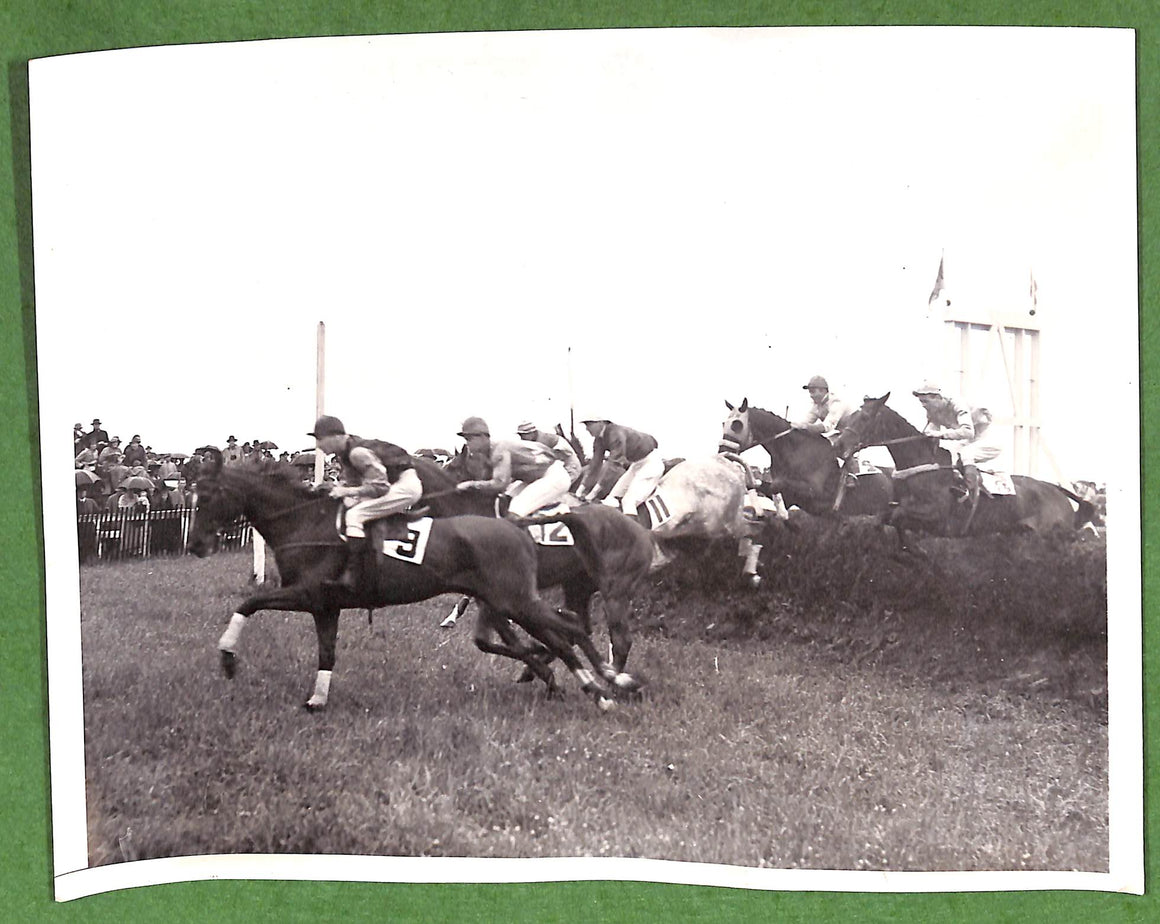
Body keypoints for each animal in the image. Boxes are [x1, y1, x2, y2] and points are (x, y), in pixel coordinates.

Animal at [192, 449, 644, 709]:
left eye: (207, 495)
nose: (196, 544)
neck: (307, 523)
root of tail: (516, 528)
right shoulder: (325, 605)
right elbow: (327, 654)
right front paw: (318, 699)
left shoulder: (305, 593)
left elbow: (248, 604)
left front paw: (228, 658)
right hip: (526, 596)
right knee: (569, 630)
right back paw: (592, 683)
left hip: (522, 598)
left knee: (577, 632)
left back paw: (609, 684)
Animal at [719, 398, 890, 519]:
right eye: (723, 423)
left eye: (736, 424)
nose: (722, 452)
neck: (794, 451)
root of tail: (887, 481)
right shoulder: (790, 497)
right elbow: (759, 485)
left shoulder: (816, 493)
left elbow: (777, 485)